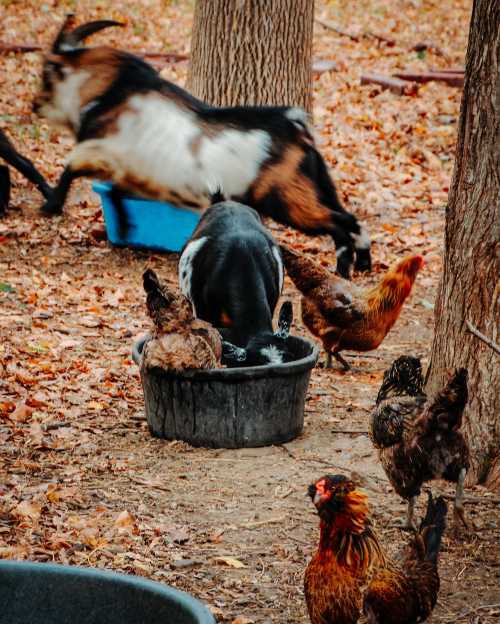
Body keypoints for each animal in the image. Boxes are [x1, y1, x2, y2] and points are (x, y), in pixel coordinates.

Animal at [34, 17, 372, 276]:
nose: (35, 105)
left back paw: (344, 268)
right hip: (315, 184)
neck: (114, 91)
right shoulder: (131, 171)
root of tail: (295, 125)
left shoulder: (102, 150)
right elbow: (116, 194)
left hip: (288, 199)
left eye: (47, 73)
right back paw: (362, 264)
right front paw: (127, 227)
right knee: (349, 219)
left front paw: (50, 205)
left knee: (339, 223)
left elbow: (71, 166)